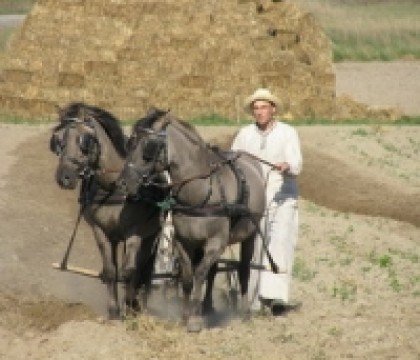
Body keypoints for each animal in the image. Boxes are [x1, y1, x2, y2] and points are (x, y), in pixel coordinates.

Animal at [49, 102, 166, 318]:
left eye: (84, 140)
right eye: (57, 140)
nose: (64, 178)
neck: (113, 186)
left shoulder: (135, 233)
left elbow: (130, 272)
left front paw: (130, 307)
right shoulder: (101, 231)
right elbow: (111, 271)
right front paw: (114, 312)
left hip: (151, 235)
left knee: (143, 271)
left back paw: (138, 304)